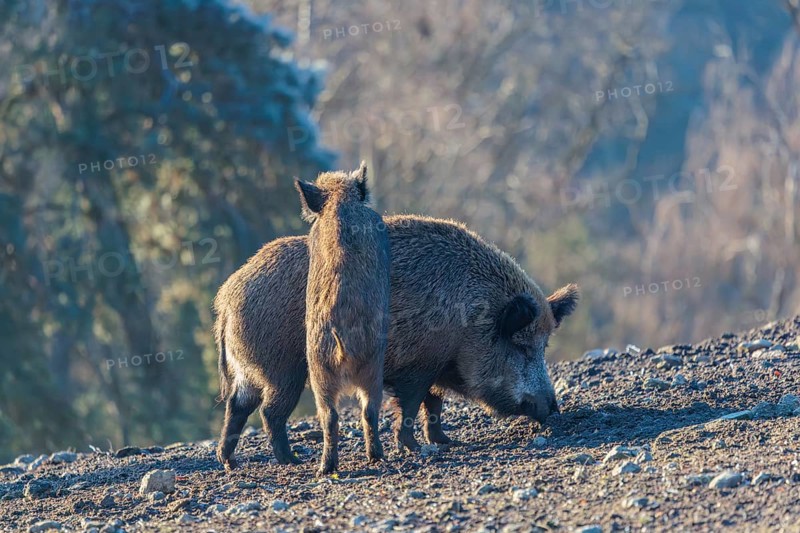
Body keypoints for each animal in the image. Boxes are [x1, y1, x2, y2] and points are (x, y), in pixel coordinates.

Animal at [214, 214, 578, 471]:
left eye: (544, 346)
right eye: (521, 346)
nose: (553, 407)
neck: (469, 318)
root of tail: (227, 299)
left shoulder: (435, 368)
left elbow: (434, 406)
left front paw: (448, 442)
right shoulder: (417, 367)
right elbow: (412, 407)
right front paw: (415, 448)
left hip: (250, 370)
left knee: (238, 406)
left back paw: (230, 462)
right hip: (283, 370)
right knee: (269, 412)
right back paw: (291, 460)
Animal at [294, 162, 391, 475]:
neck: (338, 200)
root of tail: (342, 340)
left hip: (319, 371)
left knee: (331, 416)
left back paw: (326, 467)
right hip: (373, 364)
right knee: (368, 410)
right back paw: (376, 456)